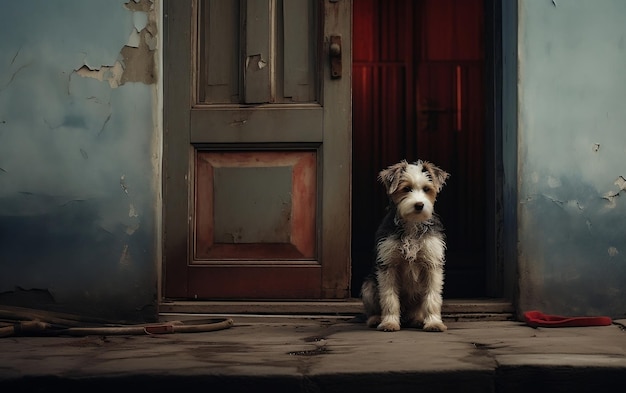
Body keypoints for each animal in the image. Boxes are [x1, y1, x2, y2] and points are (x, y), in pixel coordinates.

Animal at [360, 159, 448, 330]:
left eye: (426, 189)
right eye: (406, 188)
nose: (419, 205)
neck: (412, 224)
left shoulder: (432, 265)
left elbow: (432, 297)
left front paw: (434, 323)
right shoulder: (388, 266)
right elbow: (389, 298)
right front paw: (389, 322)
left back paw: (418, 319)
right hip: (368, 287)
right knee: (372, 309)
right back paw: (375, 319)